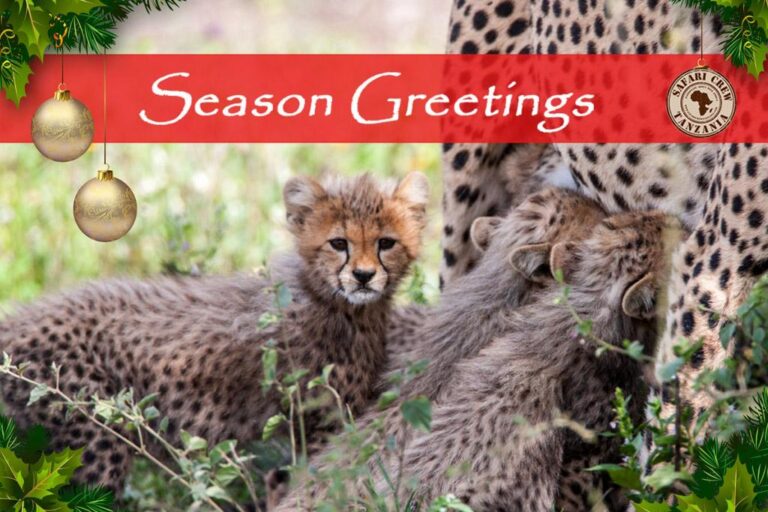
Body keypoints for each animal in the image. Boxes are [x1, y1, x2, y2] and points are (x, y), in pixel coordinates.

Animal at [0, 171, 429, 493]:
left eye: (386, 243)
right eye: (338, 243)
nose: (363, 276)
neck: (337, 304)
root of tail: (15, 321)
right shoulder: (310, 429)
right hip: (97, 440)